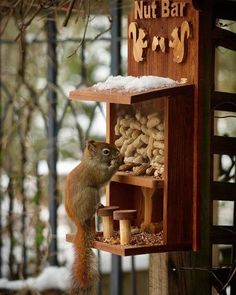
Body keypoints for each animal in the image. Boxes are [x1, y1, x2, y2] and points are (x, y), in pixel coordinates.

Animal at [65, 141, 122, 295]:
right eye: (106, 151)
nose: (118, 151)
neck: (92, 161)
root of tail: (79, 222)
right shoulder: (96, 172)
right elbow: (104, 177)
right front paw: (118, 161)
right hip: (91, 193)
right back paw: (98, 206)